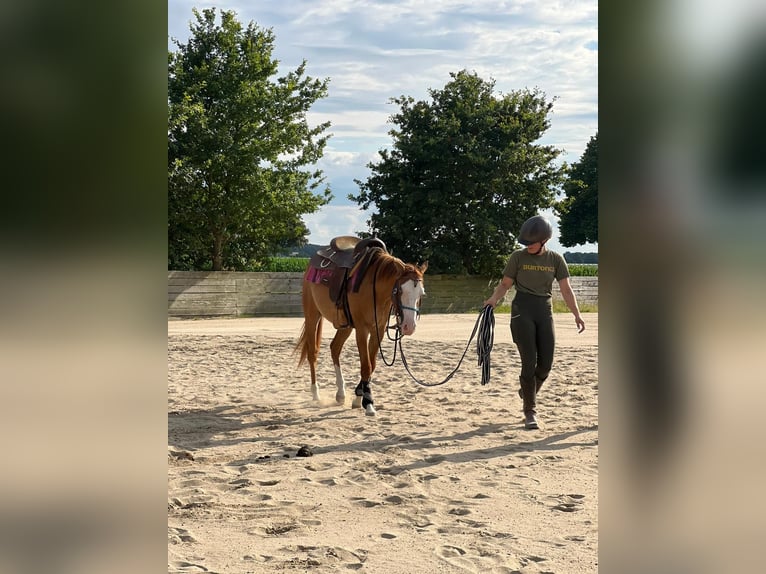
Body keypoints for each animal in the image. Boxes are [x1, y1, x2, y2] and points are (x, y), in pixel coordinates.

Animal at [296, 245, 427, 416]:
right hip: (312, 315)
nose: (409, 326)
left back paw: (341, 394)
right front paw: (368, 403)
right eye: (399, 291)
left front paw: (359, 397)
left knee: (335, 348)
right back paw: (315, 393)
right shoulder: (362, 329)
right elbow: (366, 366)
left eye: (421, 293)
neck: (375, 289)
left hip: (345, 325)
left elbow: (372, 364)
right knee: (313, 353)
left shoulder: (378, 330)